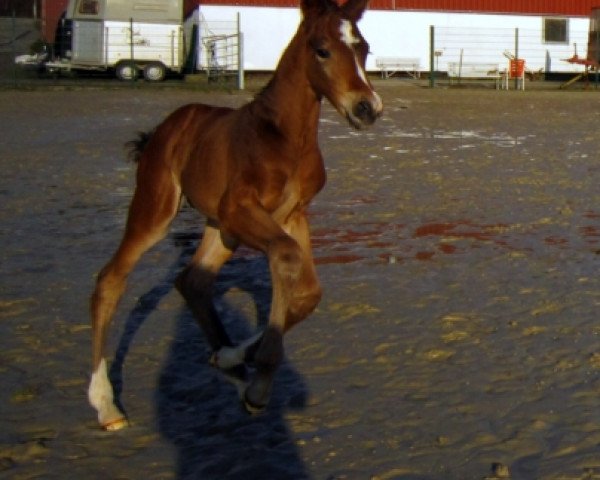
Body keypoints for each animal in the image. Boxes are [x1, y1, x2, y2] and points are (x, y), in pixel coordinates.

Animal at [87, 0, 382, 432]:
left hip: (221, 229)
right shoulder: (241, 209)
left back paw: (228, 363)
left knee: (192, 280)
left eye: (364, 49)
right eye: (322, 50)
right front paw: (259, 385)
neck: (284, 137)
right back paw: (106, 404)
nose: (367, 108)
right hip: (159, 209)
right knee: (111, 279)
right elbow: (287, 257)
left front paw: (236, 359)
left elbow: (309, 293)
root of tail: (170, 124)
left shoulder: (293, 215)